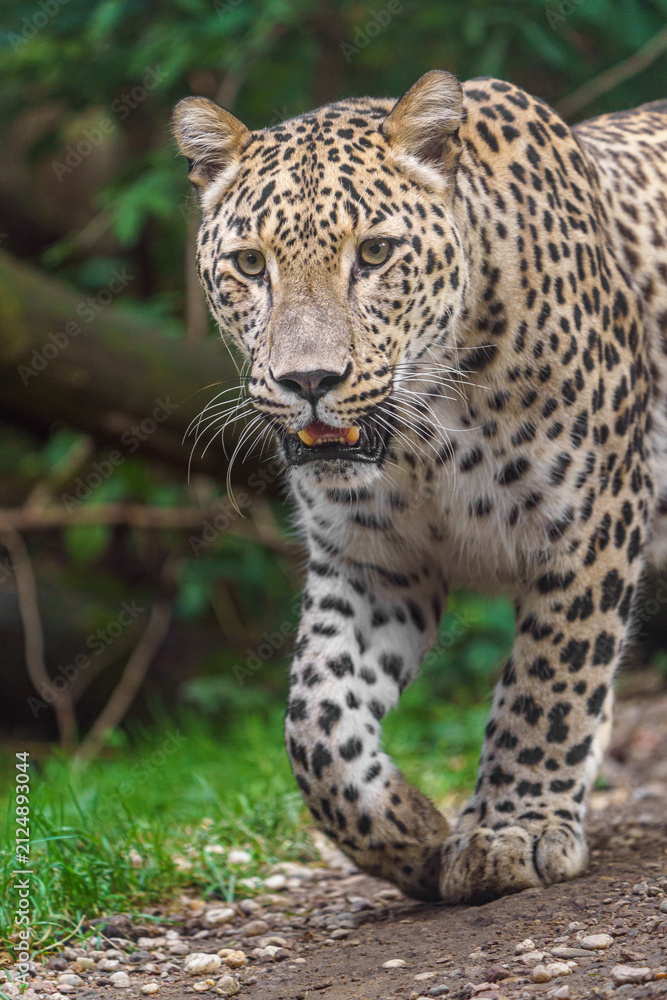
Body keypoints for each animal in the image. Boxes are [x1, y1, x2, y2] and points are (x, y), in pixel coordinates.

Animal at [172, 70, 667, 903]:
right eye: (249, 265)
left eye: (374, 254)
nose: (309, 381)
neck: (426, 439)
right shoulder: (374, 563)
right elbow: (314, 721)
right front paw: (408, 834)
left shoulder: (589, 522)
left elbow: (549, 680)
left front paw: (513, 828)